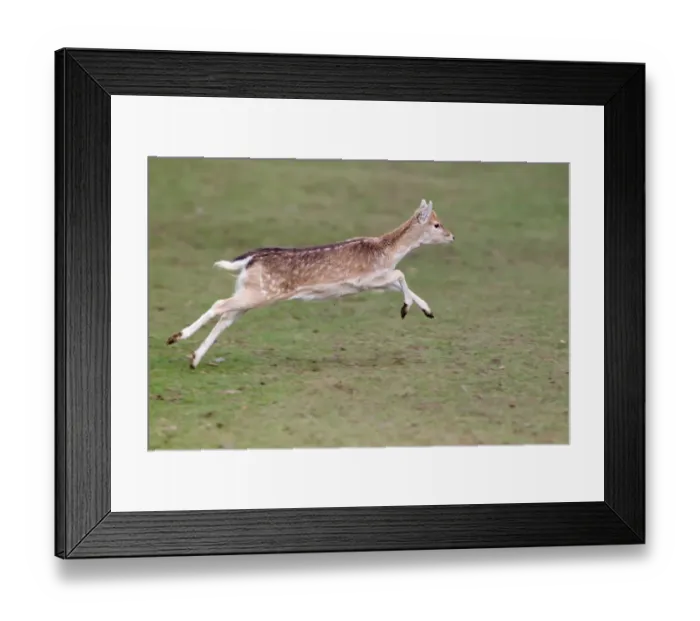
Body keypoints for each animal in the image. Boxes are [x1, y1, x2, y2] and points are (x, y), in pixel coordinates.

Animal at [166, 199, 455, 369]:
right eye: (436, 224)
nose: (452, 235)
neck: (388, 251)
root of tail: (248, 260)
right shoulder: (364, 278)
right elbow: (400, 275)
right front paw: (405, 309)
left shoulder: (373, 283)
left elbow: (400, 283)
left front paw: (427, 311)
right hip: (260, 293)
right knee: (219, 305)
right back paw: (175, 337)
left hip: (249, 292)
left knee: (226, 317)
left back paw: (194, 359)